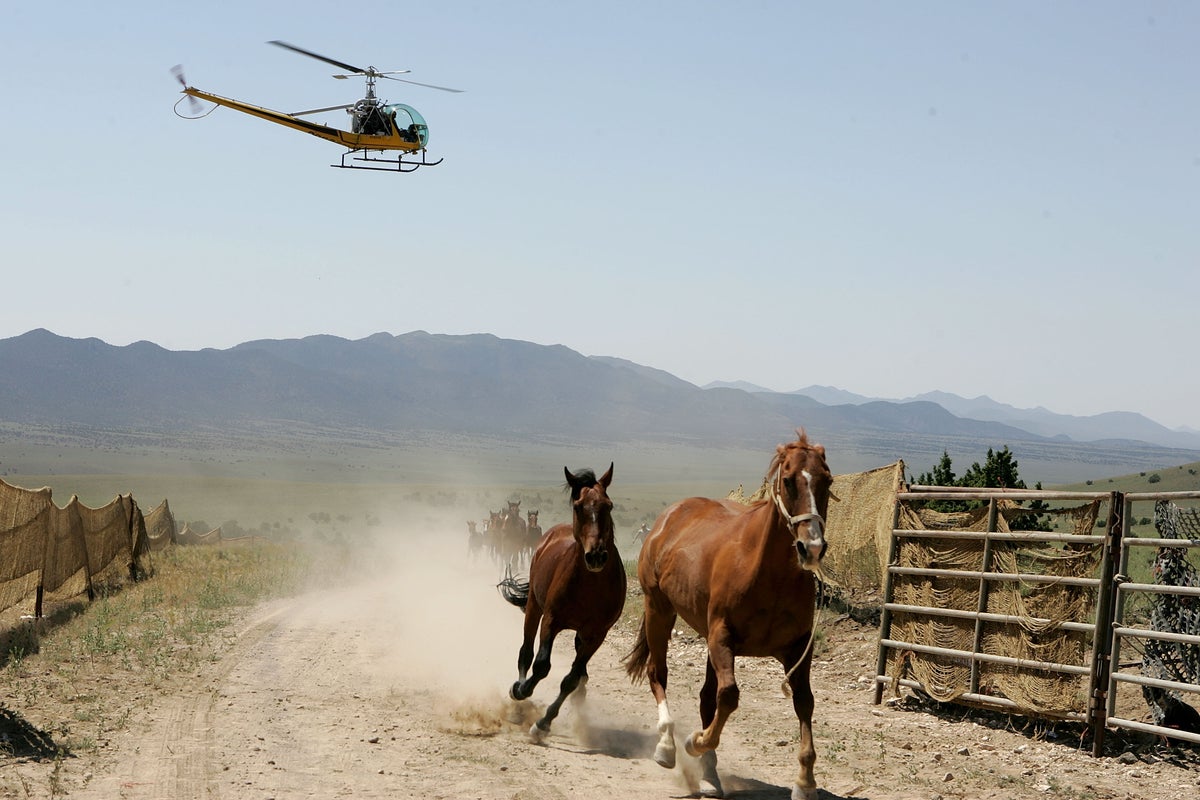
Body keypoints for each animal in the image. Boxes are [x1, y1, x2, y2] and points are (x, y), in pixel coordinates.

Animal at [498, 464, 625, 742]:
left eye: (609, 506)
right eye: (578, 506)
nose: (596, 556)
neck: (591, 585)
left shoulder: (596, 634)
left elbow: (572, 678)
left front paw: (543, 723)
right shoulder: (552, 620)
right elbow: (541, 665)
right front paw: (520, 691)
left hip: (580, 632)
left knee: (579, 673)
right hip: (534, 608)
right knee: (526, 652)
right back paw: (518, 698)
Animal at [624, 431, 832, 800]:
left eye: (827, 480)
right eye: (789, 480)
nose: (812, 548)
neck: (766, 572)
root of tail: (669, 517)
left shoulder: (797, 647)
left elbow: (804, 702)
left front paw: (806, 781)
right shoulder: (723, 637)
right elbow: (730, 696)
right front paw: (695, 742)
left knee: (707, 699)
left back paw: (709, 776)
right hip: (659, 610)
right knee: (658, 674)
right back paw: (668, 746)